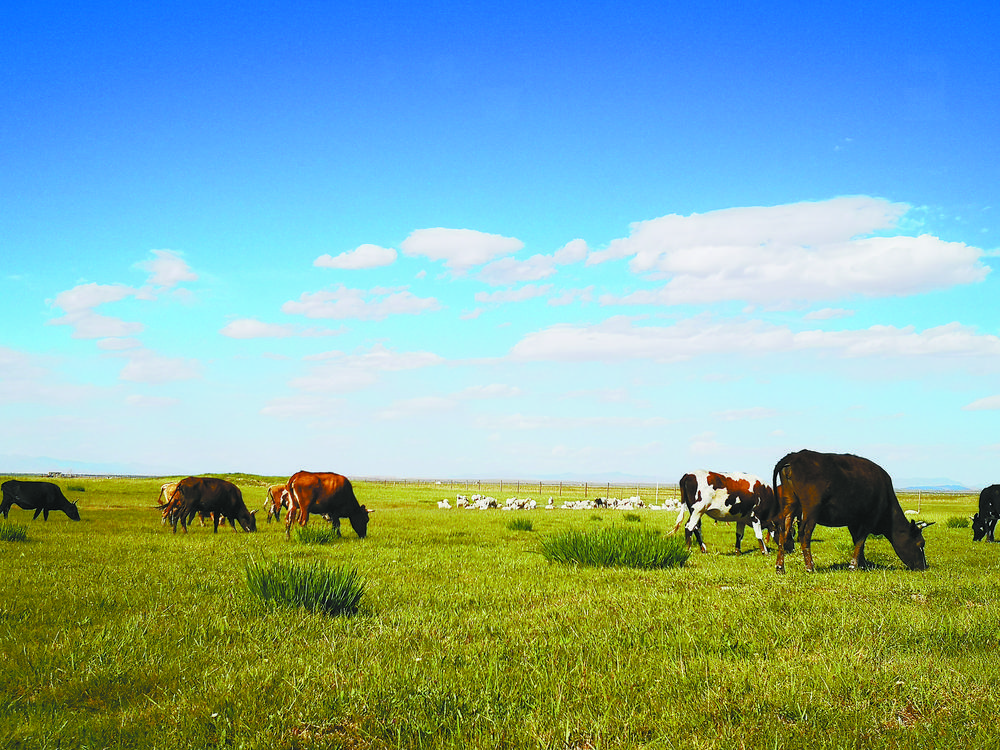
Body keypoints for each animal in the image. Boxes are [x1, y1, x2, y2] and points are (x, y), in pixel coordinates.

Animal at [769, 450, 931, 574]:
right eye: (920, 544)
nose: (923, 567)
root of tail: (794, 456)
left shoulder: (854, 520)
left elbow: (857, 540)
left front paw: (863, 564)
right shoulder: (870, 517)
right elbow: (861, 539)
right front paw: (854, 565)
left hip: (790, 504)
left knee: (783, 531)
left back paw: (780, 567)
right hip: (811, 509)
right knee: (804, 534)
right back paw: (810, 567)